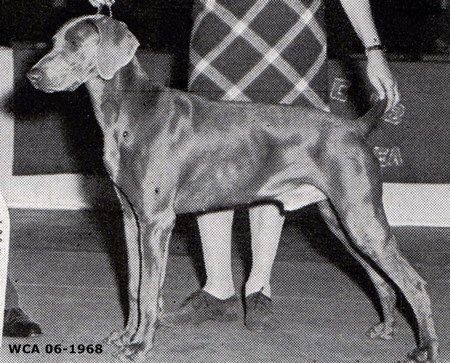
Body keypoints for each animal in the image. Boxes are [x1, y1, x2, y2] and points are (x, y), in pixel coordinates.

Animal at [26, 14, 438, 363]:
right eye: (53, 41)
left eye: (76, 43)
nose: (32, 74)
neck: (127, 113)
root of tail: (355, 126)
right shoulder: (131, 218)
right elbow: (133, 283)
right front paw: (126, 336)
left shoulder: (156, 221)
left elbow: (148, 292)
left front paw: (141, 345)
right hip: (341, 221)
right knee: (382, 279)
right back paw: (387, 328)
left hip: (360, 216)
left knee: (415, 282)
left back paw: (427, 349)